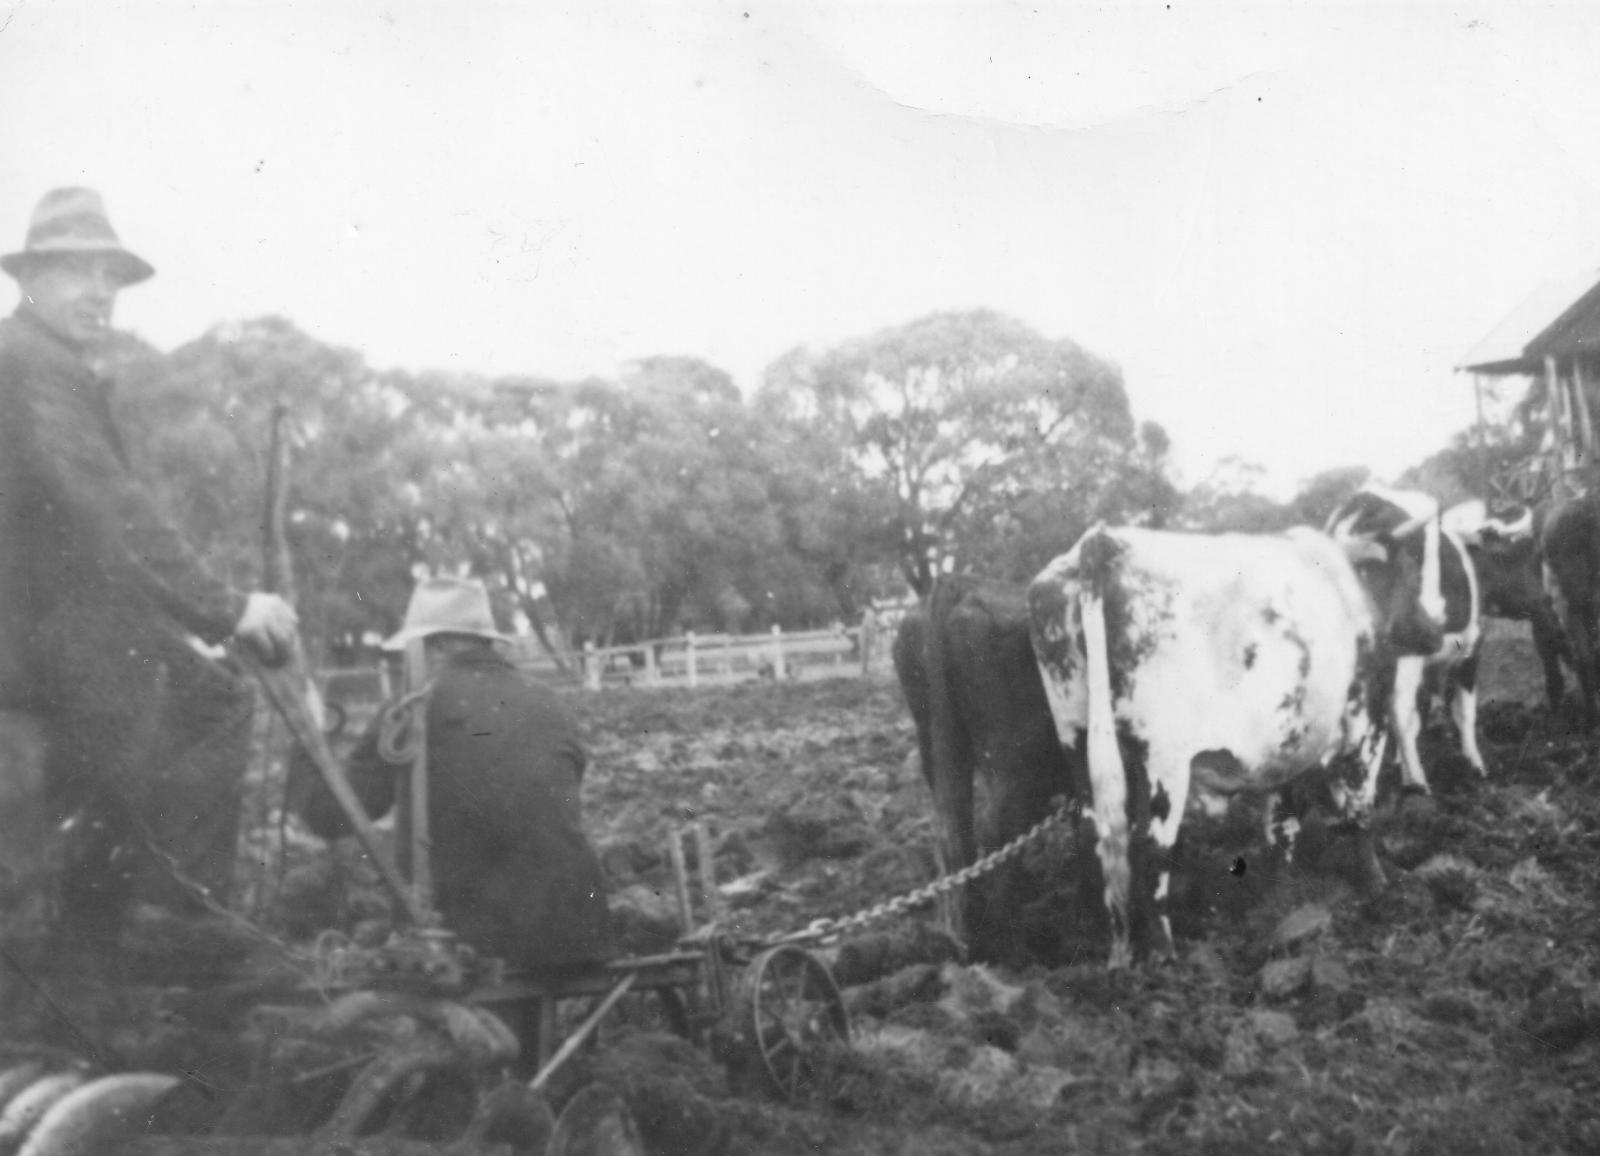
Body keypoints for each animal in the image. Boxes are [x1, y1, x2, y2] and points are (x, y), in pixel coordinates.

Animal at [896, 576, 1081, 960]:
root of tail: (957, 587)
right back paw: (1012, 948)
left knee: (952, 830)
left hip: (935, 747)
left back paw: (961, 934)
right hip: (1015, 768)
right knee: (997, 833)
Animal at [1024, 496, 1452, 960]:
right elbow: (1359, 811)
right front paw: (1378, 887)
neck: (1346, 588)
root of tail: (1103, 542)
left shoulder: (1287, 745)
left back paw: (1093, 945)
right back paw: (1165, 953)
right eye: (1411, 568)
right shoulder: (1363, 723)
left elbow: (1282, 826)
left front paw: (1284, 899)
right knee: (1151, 846)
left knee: (1093, 838)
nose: (1436, 632)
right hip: (1164, 760)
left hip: (1077, 739)